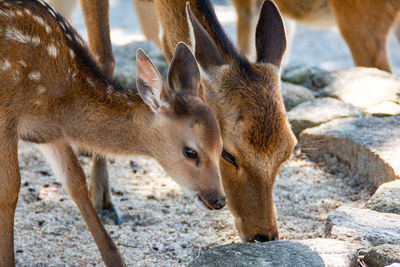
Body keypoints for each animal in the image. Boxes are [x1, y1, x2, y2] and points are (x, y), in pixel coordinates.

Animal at [0, 1, 225, 266]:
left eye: (222, 148)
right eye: (190, 152)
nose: (219, 200)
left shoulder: (48, 132)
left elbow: (75, 181)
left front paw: (115, 259)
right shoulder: (7, 116)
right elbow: (10, 189)